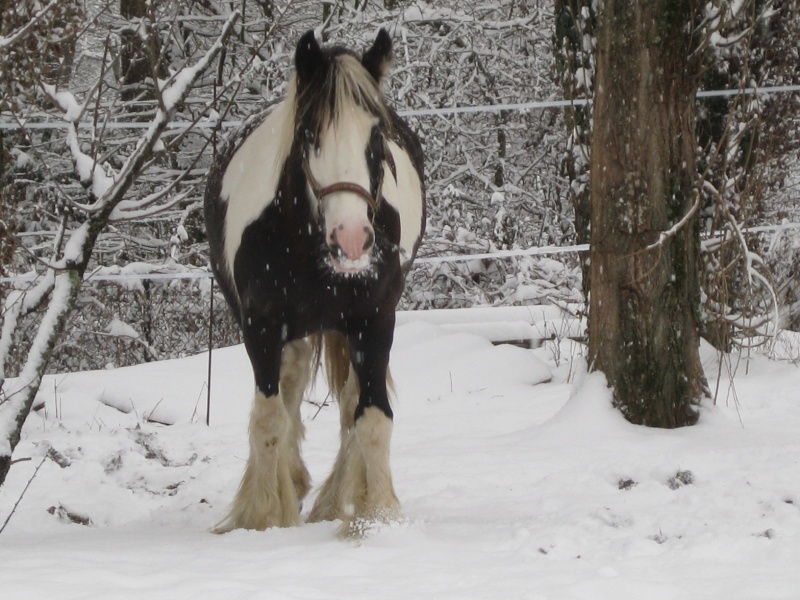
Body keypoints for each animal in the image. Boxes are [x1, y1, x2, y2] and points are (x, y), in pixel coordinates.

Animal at [205, 29, 424, 536]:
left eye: (377, 136)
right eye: (309, 134)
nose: (352, 239)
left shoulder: (374, 320)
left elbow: (371, 418)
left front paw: (377, 517)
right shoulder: (261, 326)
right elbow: (268, 419)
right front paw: (263, 516)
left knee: (347, 405)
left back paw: (332, 497)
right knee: (287, 391)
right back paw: (293, 482)